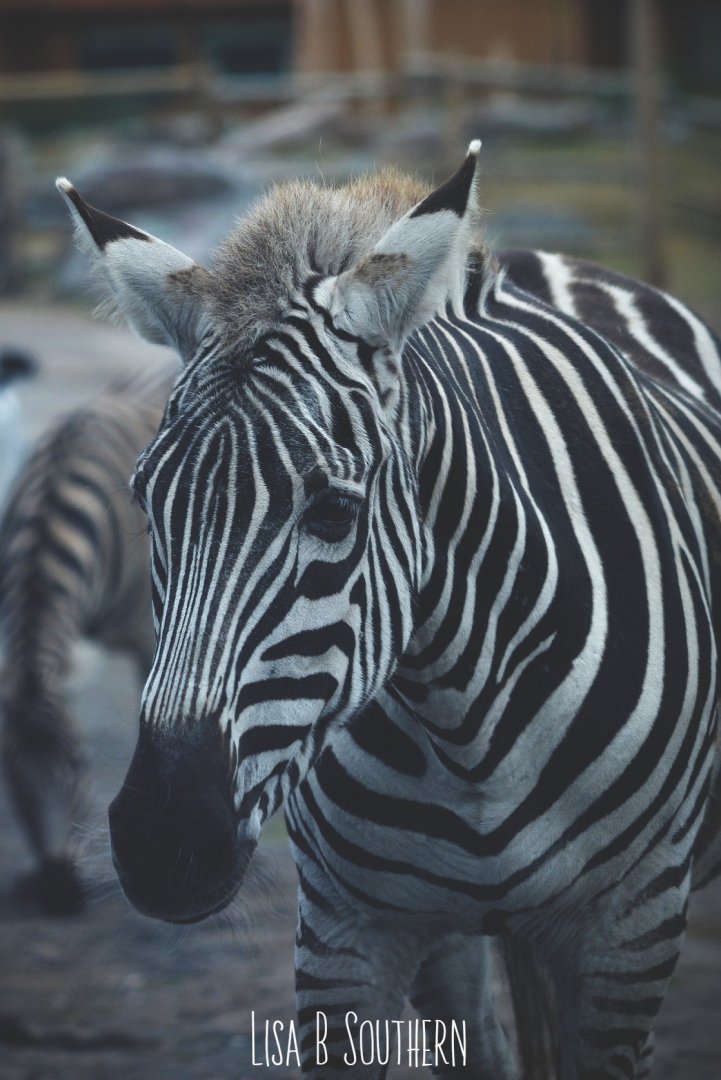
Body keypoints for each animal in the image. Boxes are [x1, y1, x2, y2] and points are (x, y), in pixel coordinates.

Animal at [57, 143, 721, 1078]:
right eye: (148, 508)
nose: (162, 843)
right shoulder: (345, 930)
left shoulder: (630, 927)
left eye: (334, 514)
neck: (465, 717)